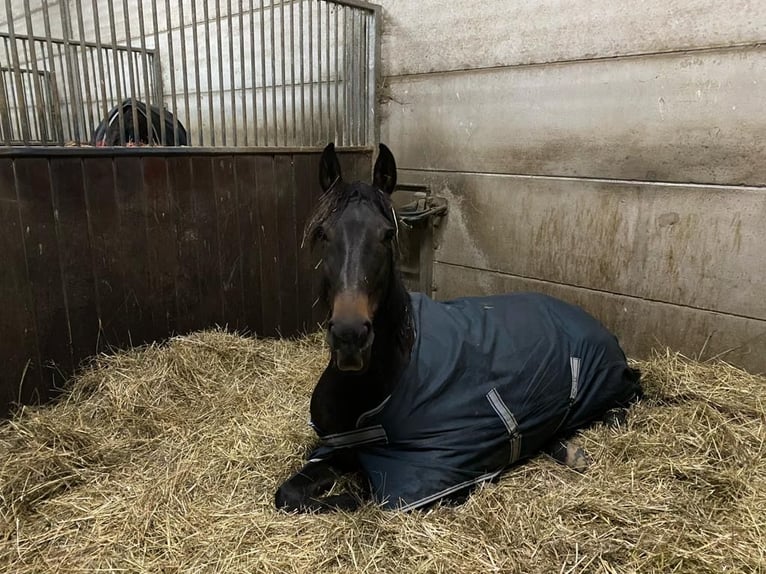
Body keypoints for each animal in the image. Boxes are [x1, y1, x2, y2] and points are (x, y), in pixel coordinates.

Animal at [276, 143, 640, 512]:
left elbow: (368, 498)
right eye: (323, 234)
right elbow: (288, 494)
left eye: (387, 234)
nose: (350, 335)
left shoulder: (426, 478)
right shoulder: (337, 449)